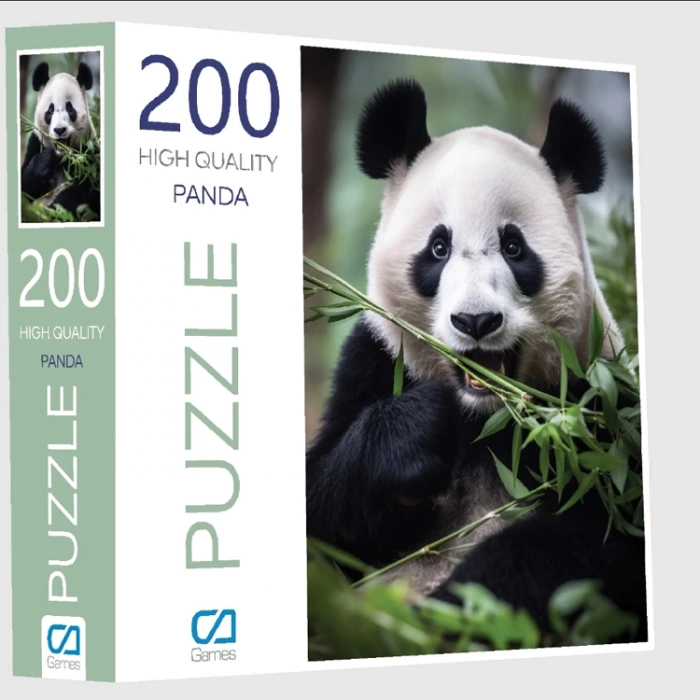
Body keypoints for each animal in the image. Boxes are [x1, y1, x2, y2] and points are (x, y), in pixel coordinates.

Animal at [21, 60, 100, 221]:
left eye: (69, 108)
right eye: (50, 110)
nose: (59, 130)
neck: (63, 156)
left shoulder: (90, 153)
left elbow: (87, 192)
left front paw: (53, 212)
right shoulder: (35, 143)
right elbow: (24, 187)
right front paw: (45, 162)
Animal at [305, 78, 648, 642]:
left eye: (514, 247)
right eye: (438, 248)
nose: (476, 321)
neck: (485, 418)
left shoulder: (599, 404)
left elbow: (599, 538)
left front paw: (450, 612)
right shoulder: (372, 361)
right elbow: (322, 517)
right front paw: (414, 438)